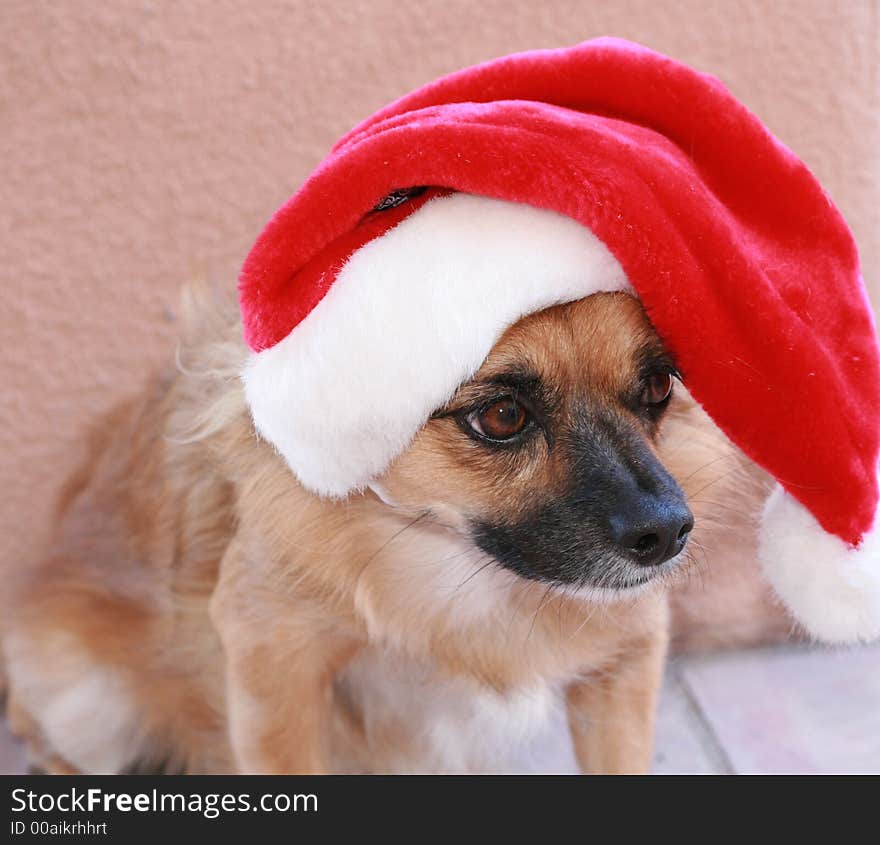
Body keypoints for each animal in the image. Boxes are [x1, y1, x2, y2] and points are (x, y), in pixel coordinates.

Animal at [0, 284, 788, 772]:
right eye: (502, 415)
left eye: (656, 387)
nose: (669, 533)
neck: (446, 556)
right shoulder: (271, 665)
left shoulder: (627, 658)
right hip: (88, 703)